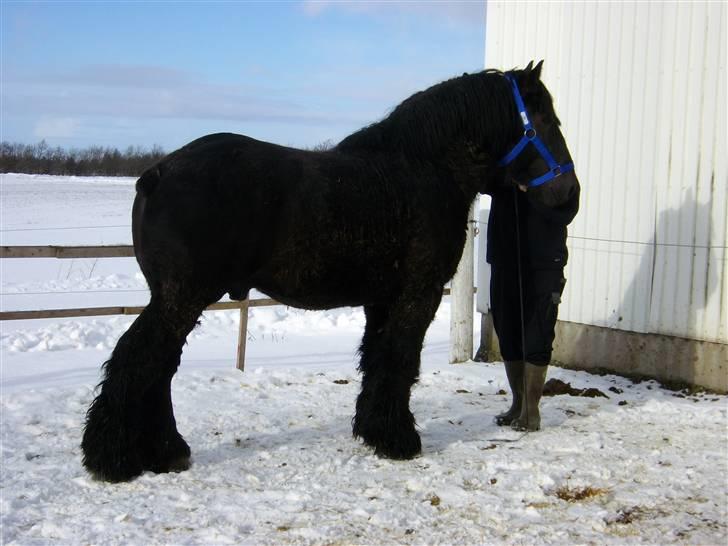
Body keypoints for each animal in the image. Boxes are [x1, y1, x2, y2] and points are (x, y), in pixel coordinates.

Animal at [81, 60, 580, 480]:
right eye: (547, 122)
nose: (570, 197)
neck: (424, 169)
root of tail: (158, 173)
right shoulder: (416, 295)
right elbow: (400, 360)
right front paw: (400, 440)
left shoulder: (382, 301)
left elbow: (378, 359)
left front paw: (375, 431)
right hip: (181, 298)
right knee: (140, 362)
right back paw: (115, 458)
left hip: (175, 299)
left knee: (158, 366)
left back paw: (165, 452)